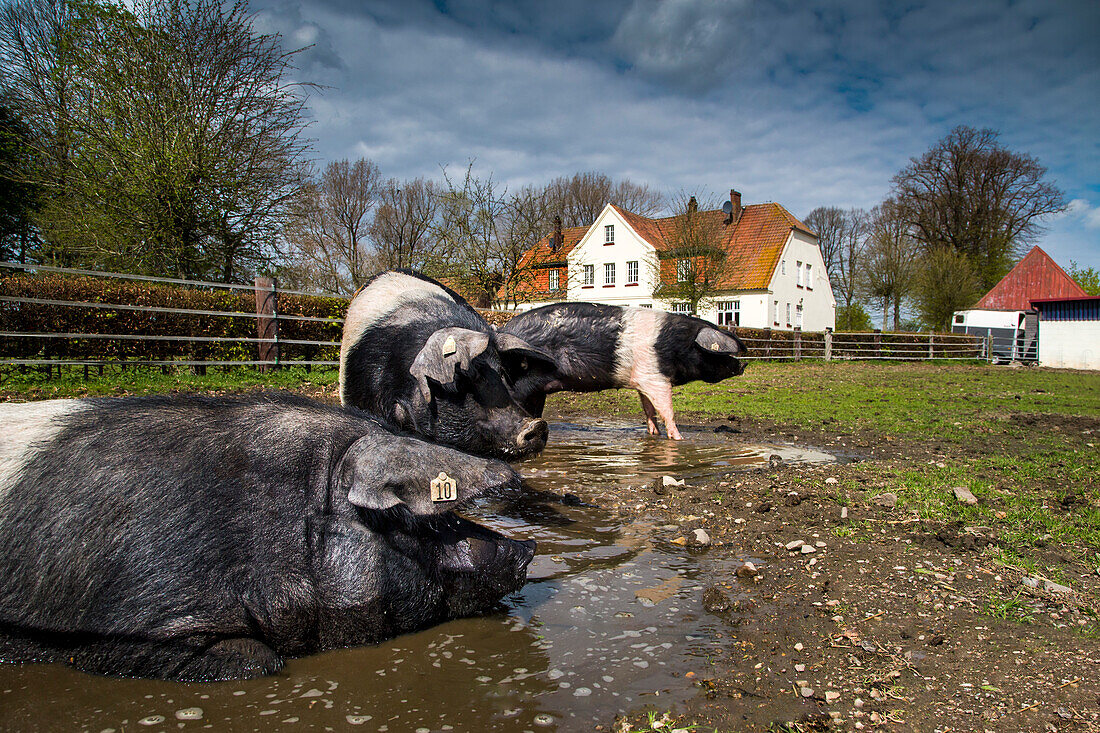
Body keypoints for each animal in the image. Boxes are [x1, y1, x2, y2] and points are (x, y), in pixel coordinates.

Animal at [501, 301, 748, 440]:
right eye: (719, 353)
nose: (743, 365)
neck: (677, 346)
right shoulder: (656, 378)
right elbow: (667, 409)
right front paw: (679, 439)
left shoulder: (643, 380)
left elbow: (648, 409)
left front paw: (654, 434)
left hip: (537, 392)